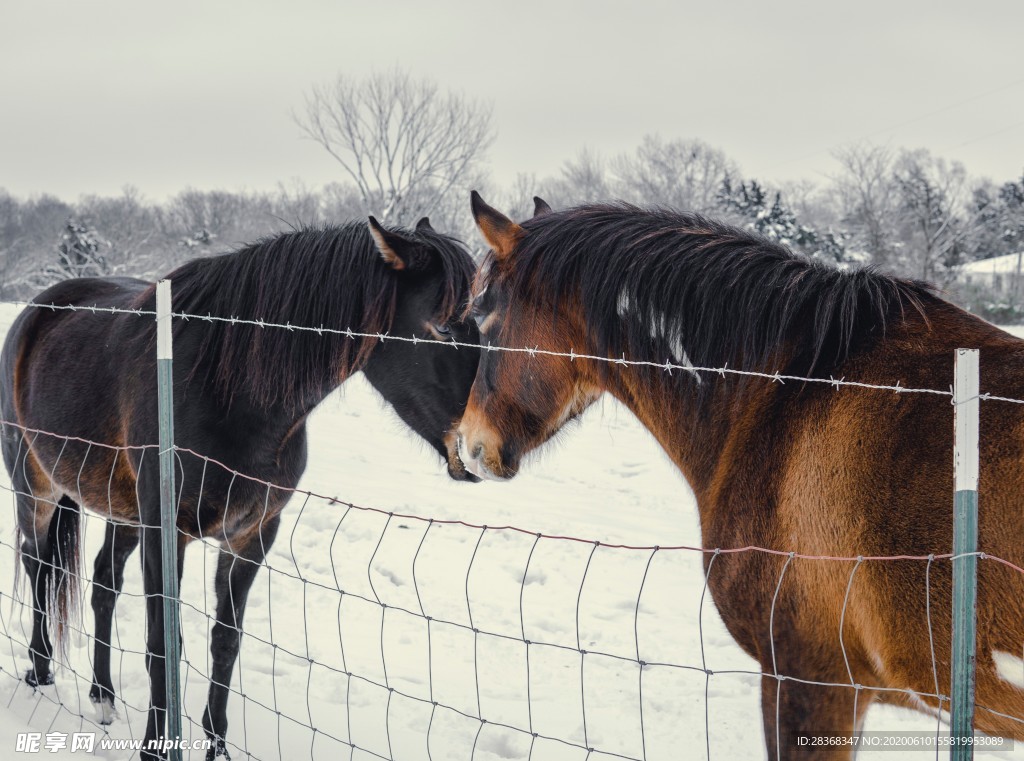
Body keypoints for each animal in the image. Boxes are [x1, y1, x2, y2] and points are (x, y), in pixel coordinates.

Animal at [0, 216, 481, 759]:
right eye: (444, 325)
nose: (482, 445)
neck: (227, 392)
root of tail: (37, 312)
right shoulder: (167, 534)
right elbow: (162, 645)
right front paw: (156, 747)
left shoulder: (252, 536)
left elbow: (225, 642)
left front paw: (217, 745)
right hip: (36, 488)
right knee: (38, 564)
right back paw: (40, 670)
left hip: (122, 509)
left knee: (103, 583)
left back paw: (102, 697)